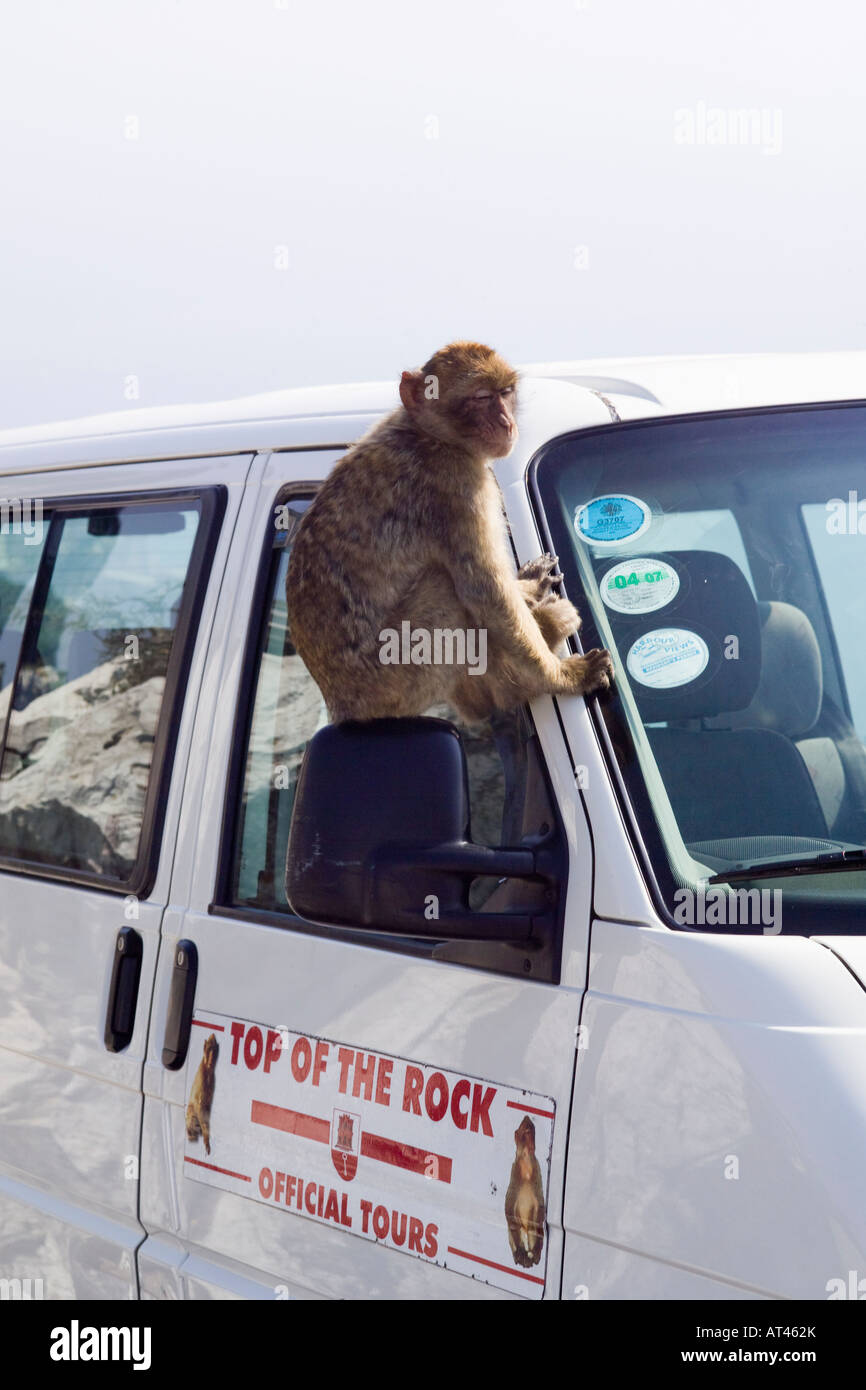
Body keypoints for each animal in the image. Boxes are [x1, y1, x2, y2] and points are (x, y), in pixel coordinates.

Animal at [286, 341, 613, 724]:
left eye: (505, 393)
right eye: (481, 397)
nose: (506, 422)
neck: (430, 435)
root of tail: (340, 704)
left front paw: (527, 585)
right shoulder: (457, 487)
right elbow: (485, 594)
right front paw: (561, 678)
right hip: (394, 677)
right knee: (447, 591)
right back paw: (517, 683)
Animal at [504, 1114, 545, 1268]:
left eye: (530, 1127)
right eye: (524, 1128)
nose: (527, 1117)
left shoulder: (536, 1175)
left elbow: (539, 1204)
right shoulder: (515, 1175)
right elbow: (510, 1207)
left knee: (534, 1232)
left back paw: (534, 1253)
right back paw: (521, 1254)